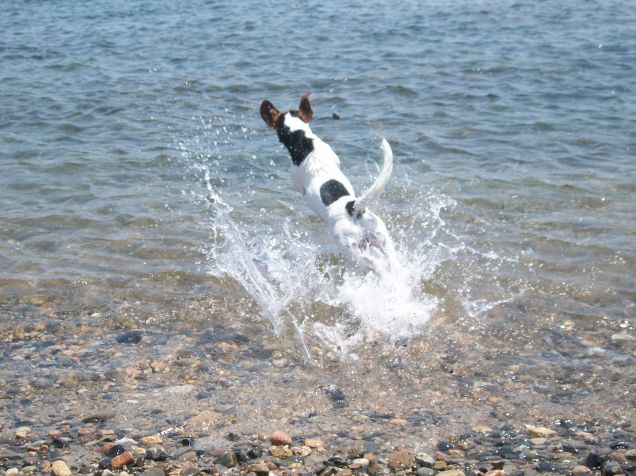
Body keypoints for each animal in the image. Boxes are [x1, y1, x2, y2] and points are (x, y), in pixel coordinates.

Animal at [258, 93, 398, 276]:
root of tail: (352, 207)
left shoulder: (296, 180)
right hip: (382, 237)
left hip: (353, 251)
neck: (303, 141)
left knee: (379, 267)